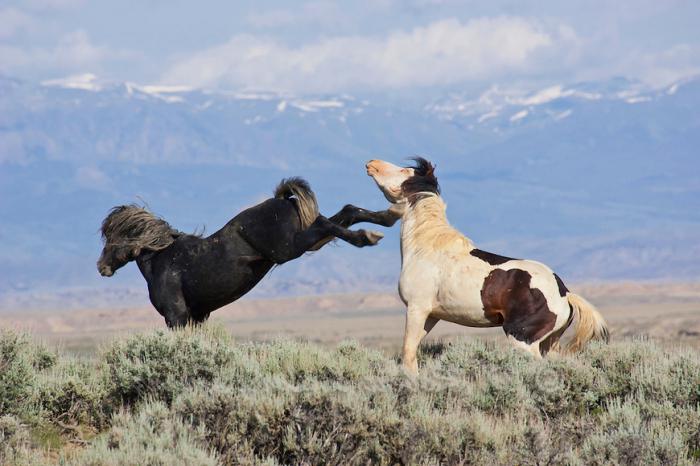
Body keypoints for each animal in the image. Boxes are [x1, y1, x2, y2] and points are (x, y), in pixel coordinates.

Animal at [97, 178, 400, 328]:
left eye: (111, 239)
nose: (102, 267)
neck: (161, 260)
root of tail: (280, 200)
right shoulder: (198, 316)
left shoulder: (177, 317)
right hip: (305, 237)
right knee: (345, 213)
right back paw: (386, 219)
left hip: (289, 249)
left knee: (331, 224)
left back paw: (366, 237)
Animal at [366, 158, 608, 374]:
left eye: (404, 170)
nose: (372, 163)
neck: (426, 247)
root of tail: (564, 293)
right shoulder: (432, 315)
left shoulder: (417, 308)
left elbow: (408, 354)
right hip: (550, 343)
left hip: (523, 341)